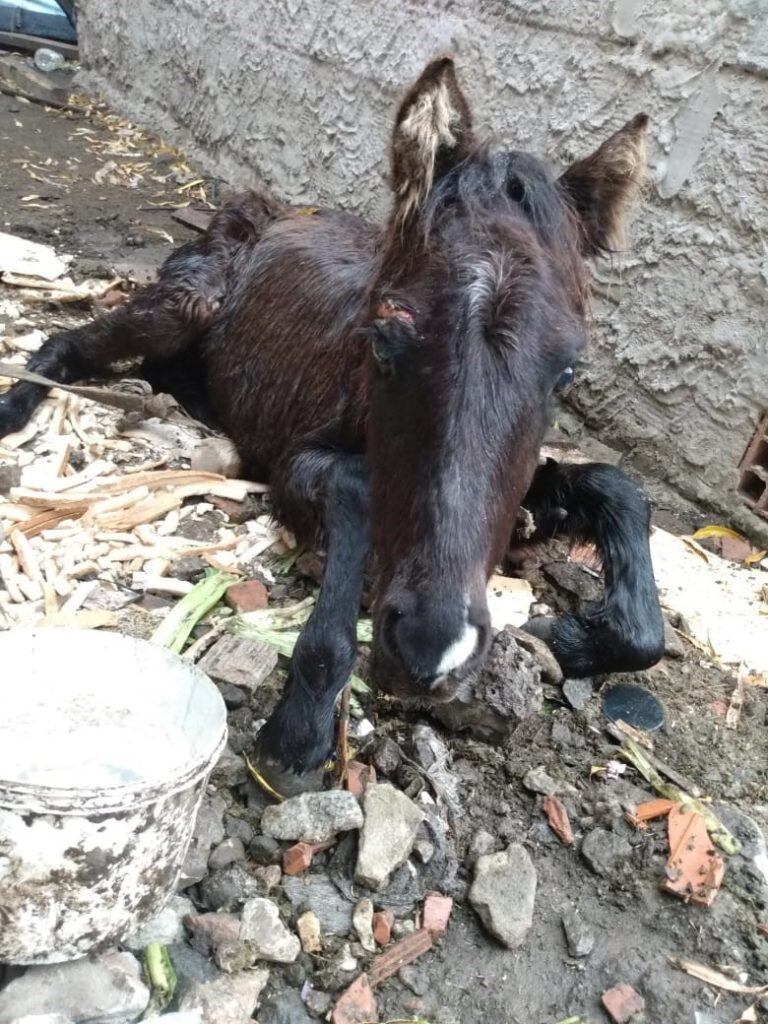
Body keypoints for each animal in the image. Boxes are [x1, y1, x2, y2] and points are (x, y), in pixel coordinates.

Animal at [0, 58, 667, 790]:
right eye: (384, 341)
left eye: (567, 373)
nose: (433, 652)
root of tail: (271, 209)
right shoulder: (299, 463)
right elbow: (354, 491)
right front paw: (300, 728)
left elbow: (619, 496)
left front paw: (564, 639)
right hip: (184, 303)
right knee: (68, 342)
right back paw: (15, 410)